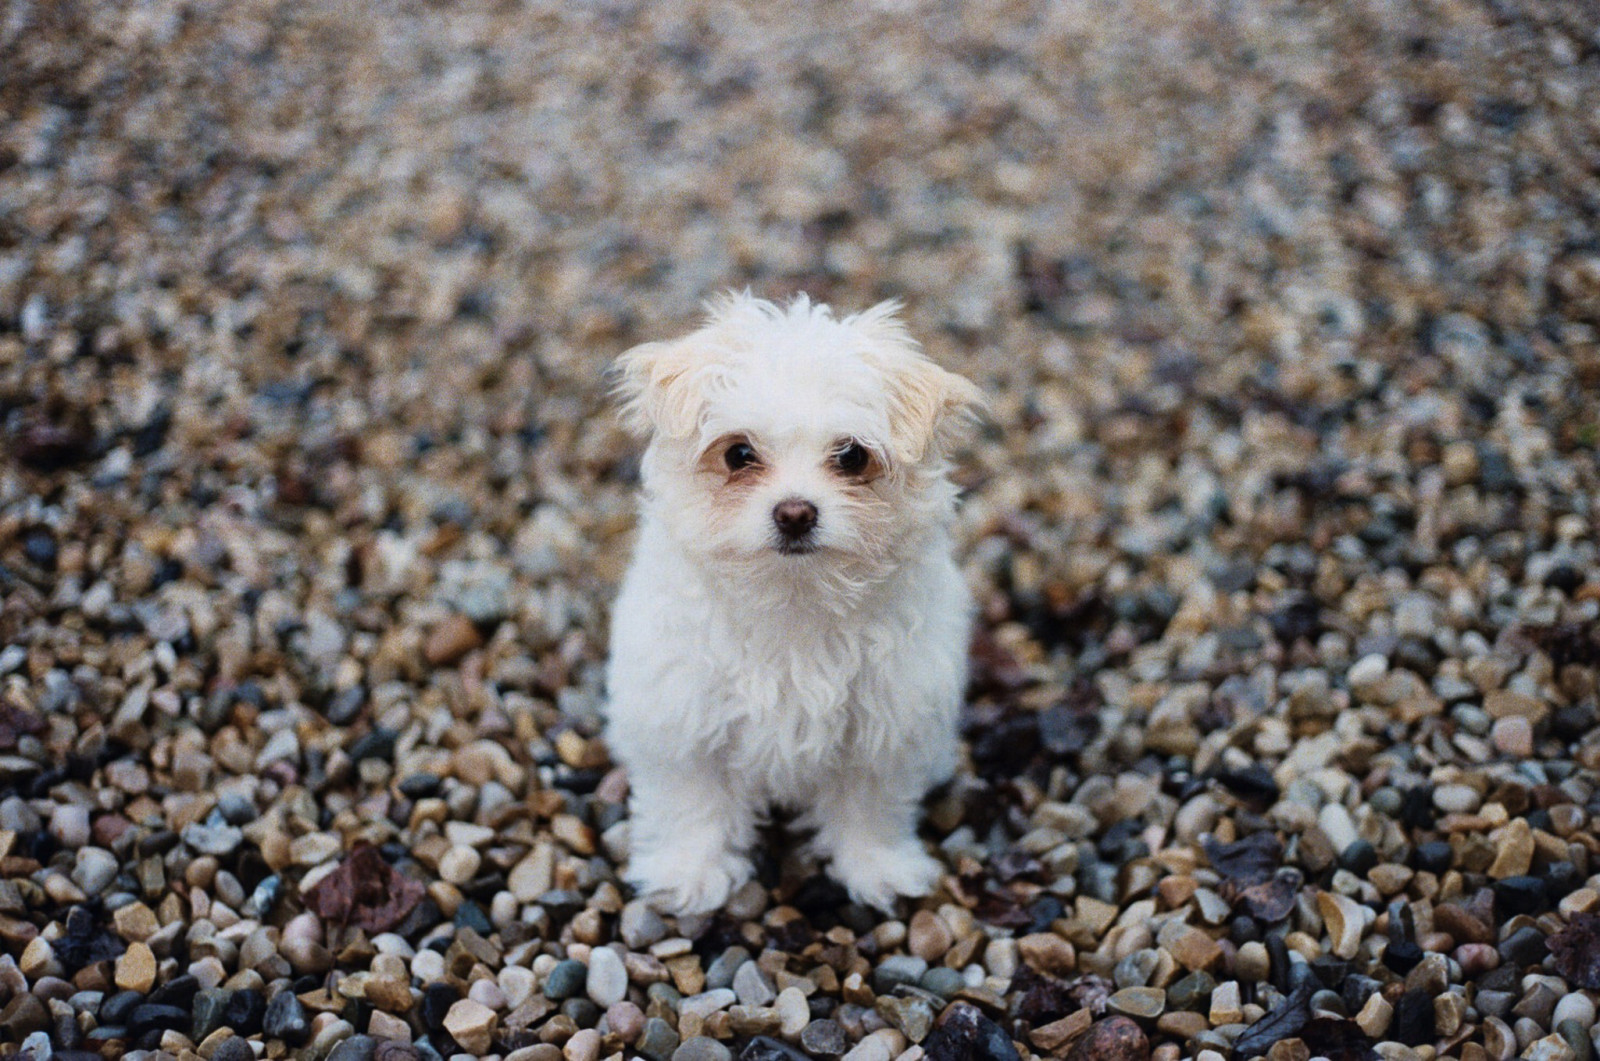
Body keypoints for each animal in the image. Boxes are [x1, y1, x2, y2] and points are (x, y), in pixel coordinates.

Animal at [601, 291, 985, 915]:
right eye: (738, 453)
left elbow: (869, 803)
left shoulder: (885, 721)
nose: (795, 513)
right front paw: (690, 872)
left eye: (852, 456)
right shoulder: (682, 713)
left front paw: (877, 868)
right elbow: (693, 799)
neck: (793, 600)